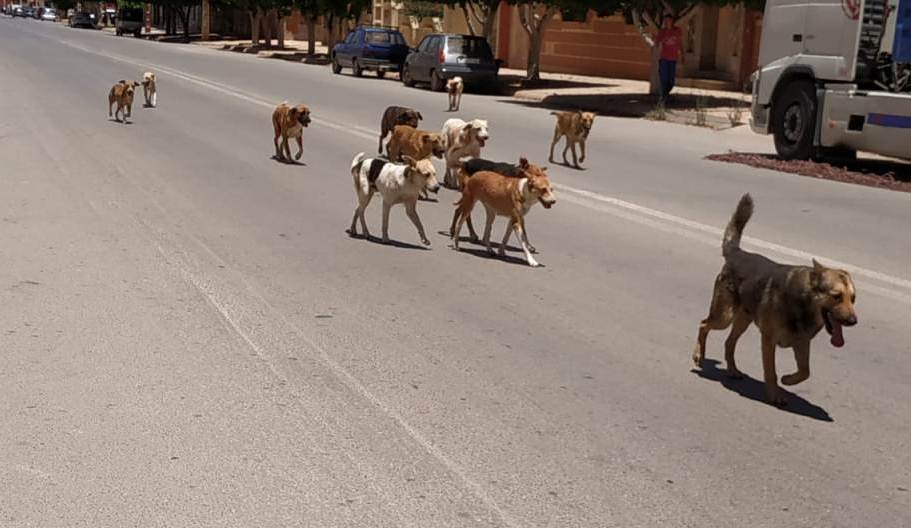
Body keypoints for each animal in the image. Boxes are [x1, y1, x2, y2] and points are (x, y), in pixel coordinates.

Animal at [696, 196, 860, 406]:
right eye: (836, 296)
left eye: (853, 299)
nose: (853, 321)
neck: (803, 302)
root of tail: (738, 253)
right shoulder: (769, 340)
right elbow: (771, 371)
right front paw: (775, 394)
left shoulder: (801, 343)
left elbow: (805, 372)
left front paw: (788, 380)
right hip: (724, 316)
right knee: (703, 325)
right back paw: (698, 355)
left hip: (742, 320)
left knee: (729, 343)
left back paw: (732, 369)